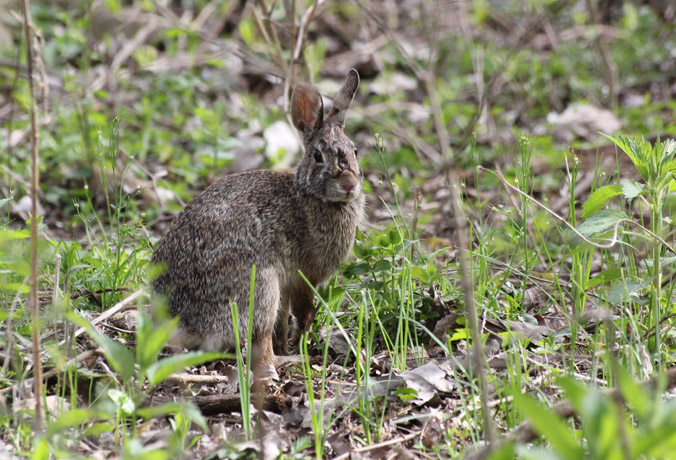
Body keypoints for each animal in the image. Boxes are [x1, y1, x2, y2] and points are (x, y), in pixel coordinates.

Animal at [151, 70, 364, 380]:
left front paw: (289, 343)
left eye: (355, 151)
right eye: (318, 156)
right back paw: (287, 362)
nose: (349, 184)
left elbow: (284, 321)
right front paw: (300, 344)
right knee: (260, 349)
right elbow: (304, 312)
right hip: (260, 286)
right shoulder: (304, 277)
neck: (309, 193)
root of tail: (179, 321)